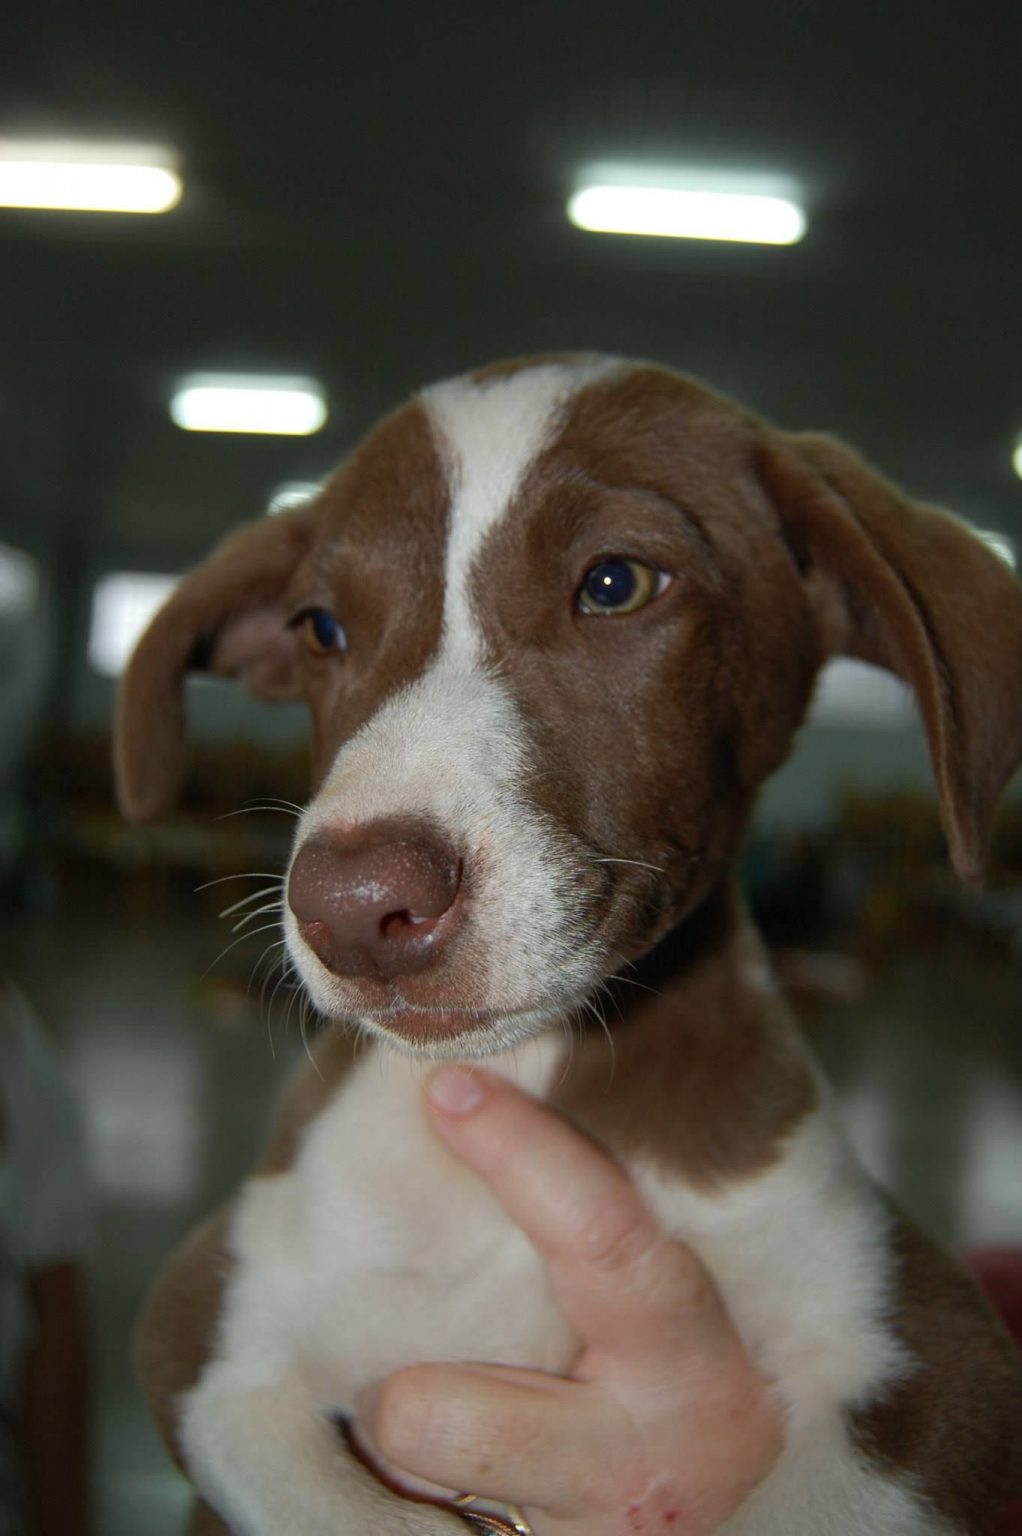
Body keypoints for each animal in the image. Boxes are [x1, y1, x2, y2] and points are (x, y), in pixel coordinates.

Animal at [116, 355, 1022, 1534]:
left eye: (614, 583)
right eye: (319, 628)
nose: (353, 907)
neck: (533, 1073)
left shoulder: (931, 1354)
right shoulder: (209, 1329)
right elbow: (360, 1513)